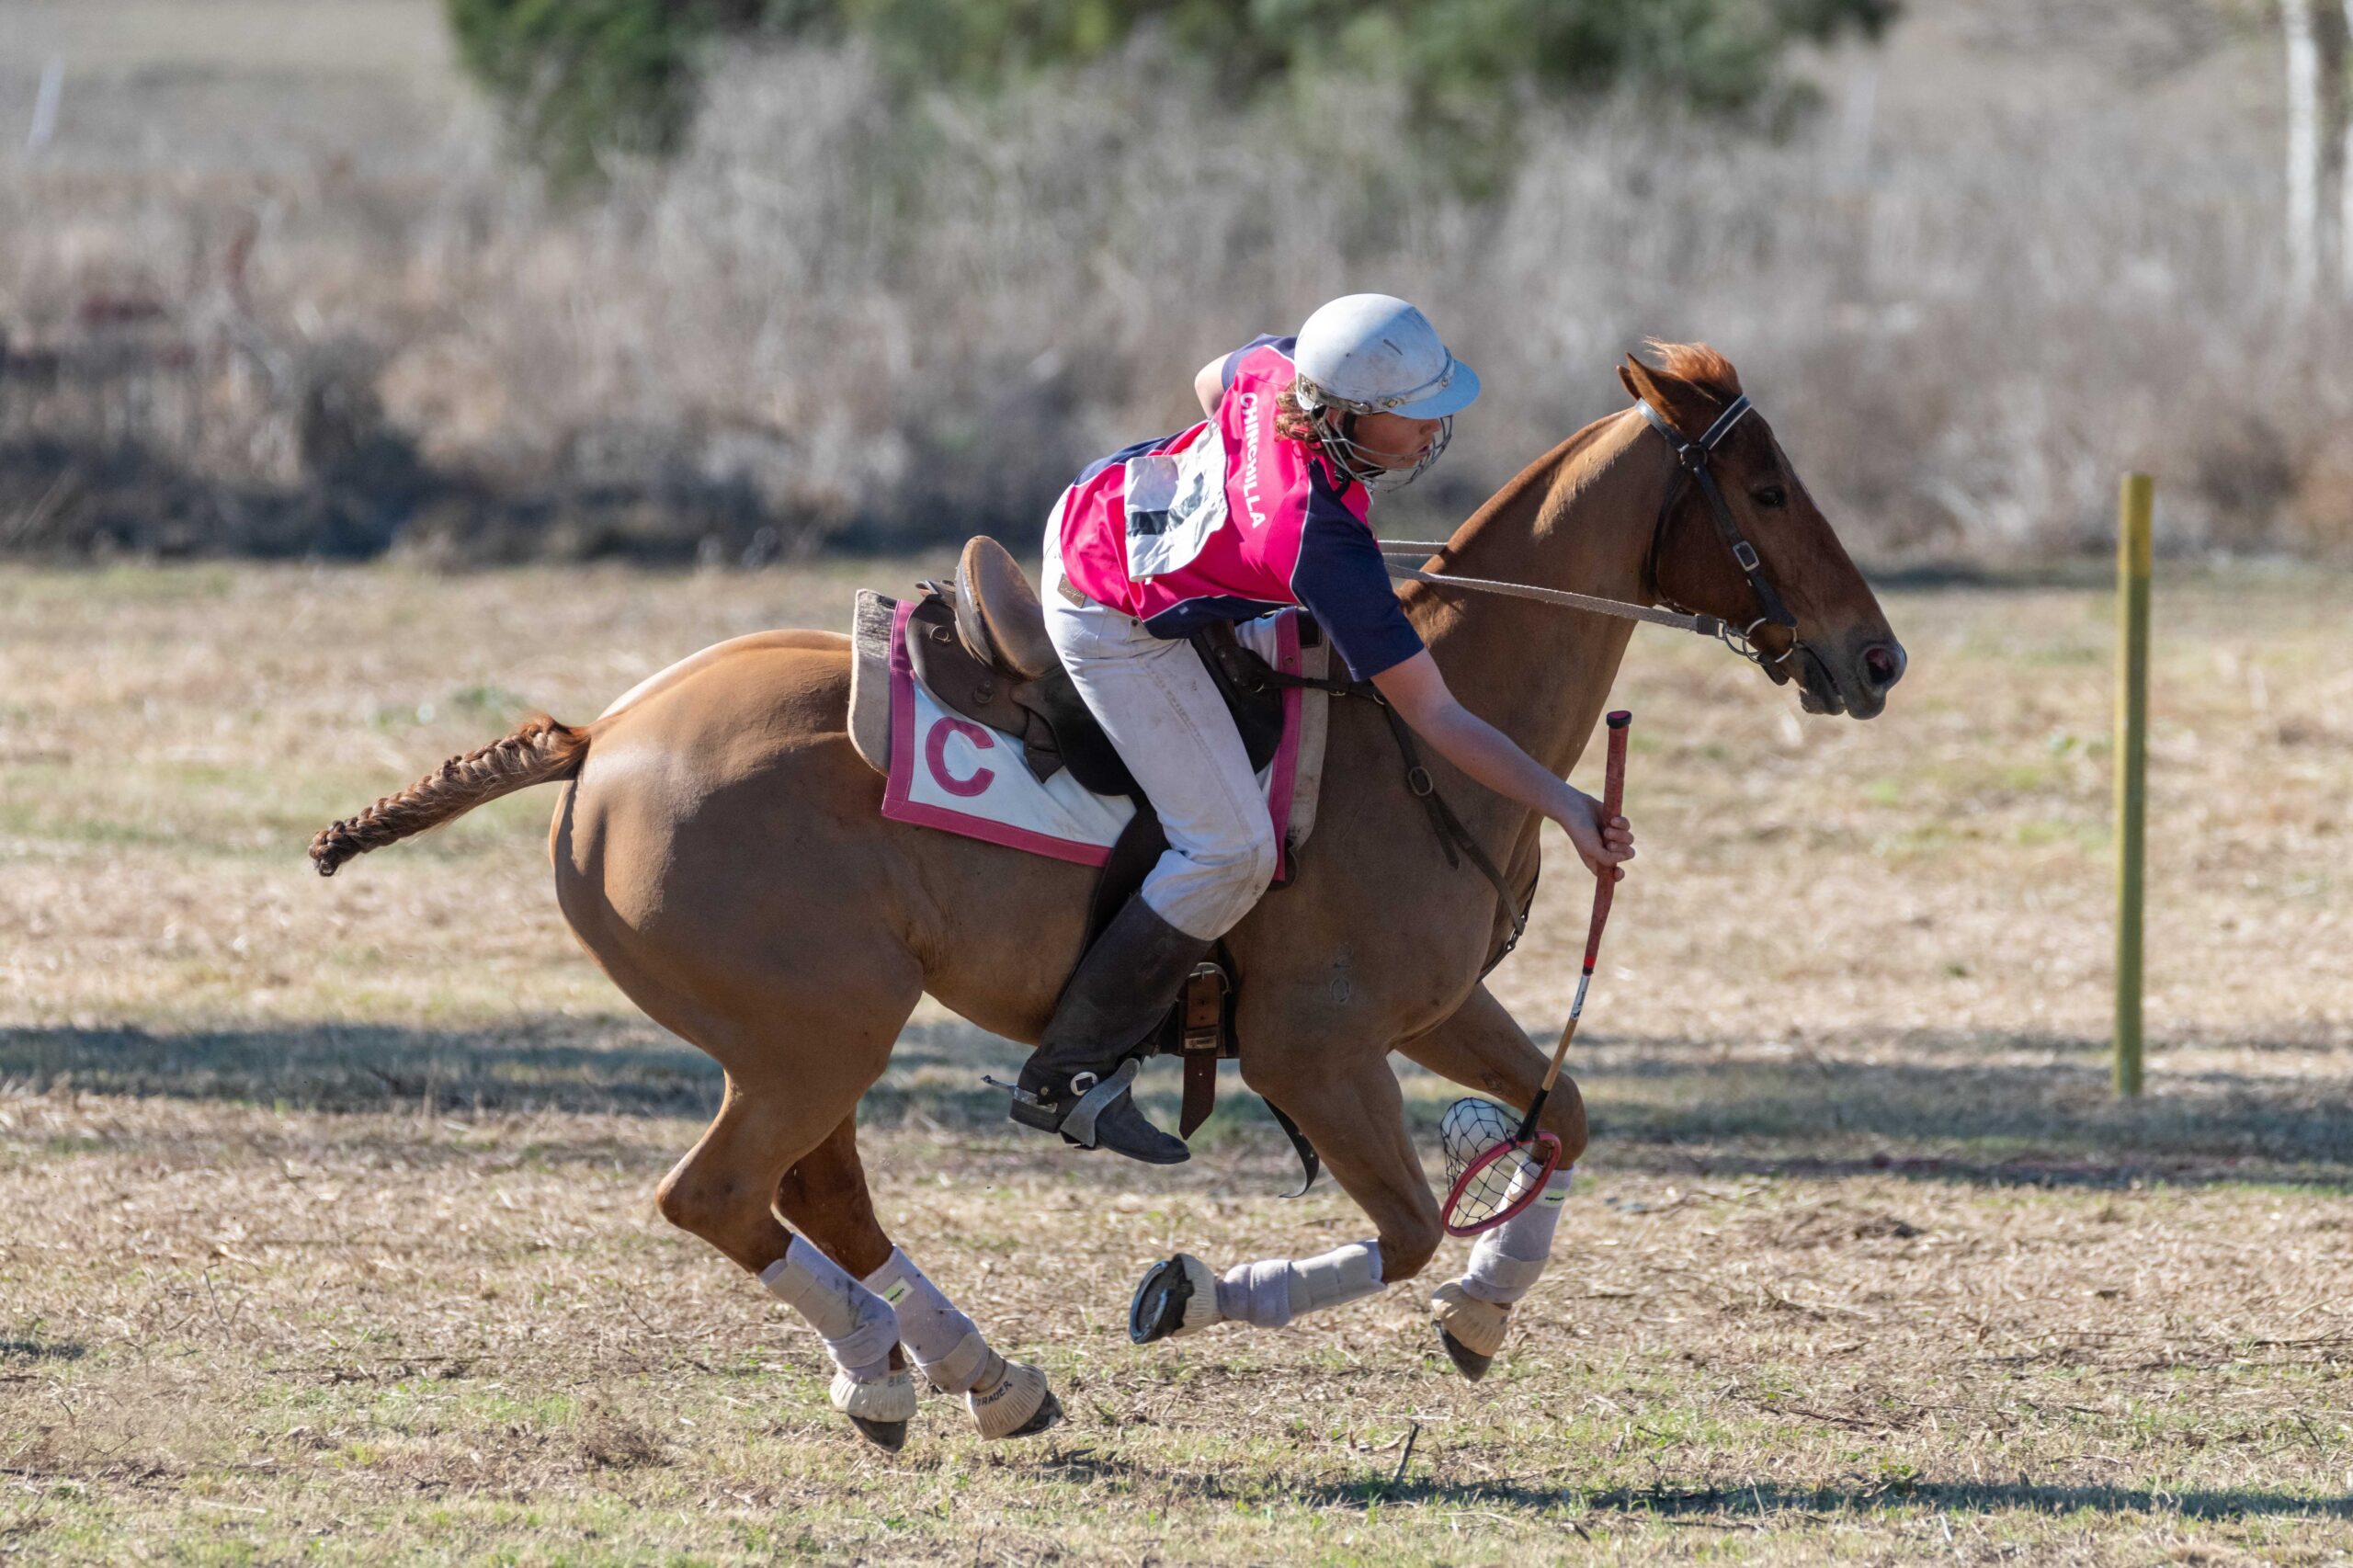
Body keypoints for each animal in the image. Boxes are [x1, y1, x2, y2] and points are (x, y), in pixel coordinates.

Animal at [303, 348, 1901, 1449]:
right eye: (1766, 491)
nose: (1876, 657)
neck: (1423, 725)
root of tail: (602, 740)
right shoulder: (1316, 1047)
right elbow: (1400, 1230)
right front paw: (1195, 1289)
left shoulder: (1437, 1010)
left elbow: (1560, 1118)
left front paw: (1485, 1305)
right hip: (821, 1030)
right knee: (723, 1192)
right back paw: (915, 1357)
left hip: (806, 1035)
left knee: (814, 1190)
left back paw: (958, 1375)